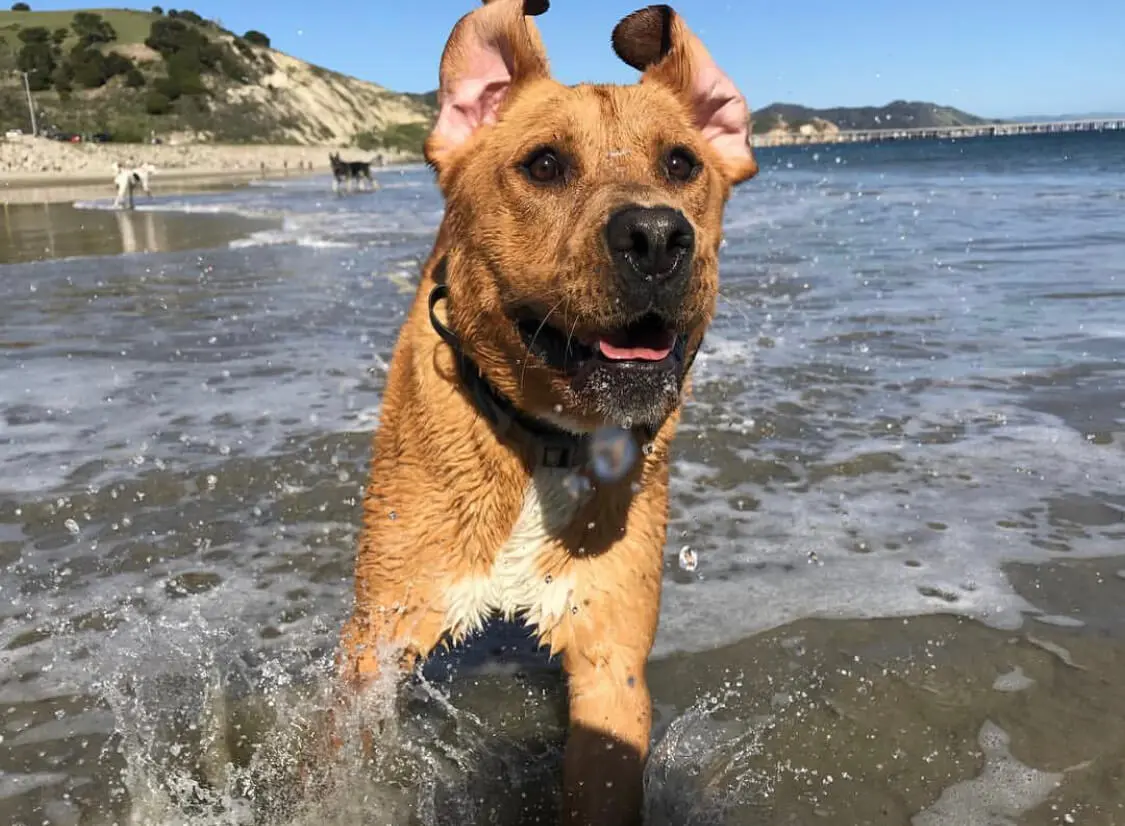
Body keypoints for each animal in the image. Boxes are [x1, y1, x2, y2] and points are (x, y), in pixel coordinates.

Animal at [333, 3, 756, 823]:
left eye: (681, 165)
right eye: (544, 165)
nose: (657, 236)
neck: (540, 441)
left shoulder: (610, 654)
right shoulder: (377, 637)